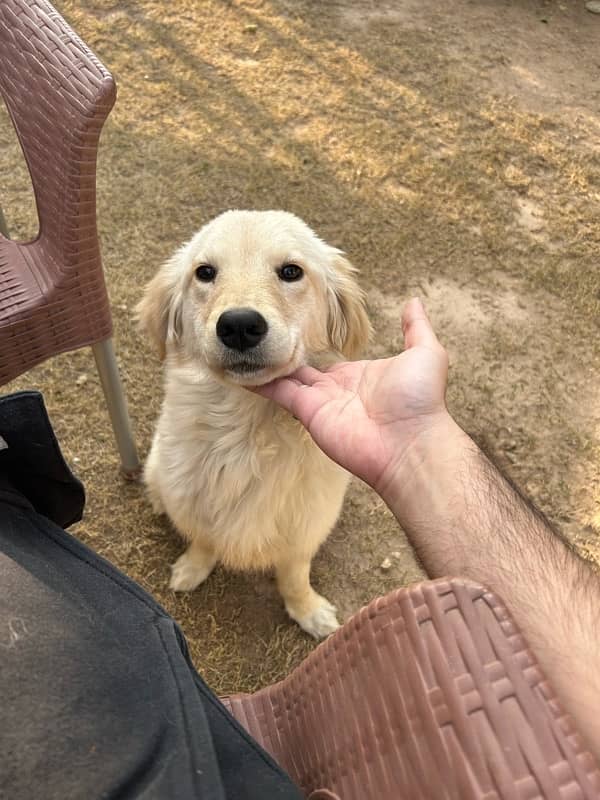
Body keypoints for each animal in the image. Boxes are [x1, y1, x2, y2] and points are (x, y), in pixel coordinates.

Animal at [137, 211, 370, 636]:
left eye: (291, 271)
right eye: (205, 272)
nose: (239, 326)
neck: (247, 429)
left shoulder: (304, 527)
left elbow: (294, 575)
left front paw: (308, 611)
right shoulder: (194, 503)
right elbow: (204, 541)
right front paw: (191, 569)